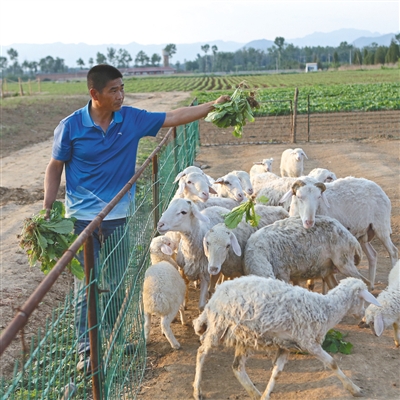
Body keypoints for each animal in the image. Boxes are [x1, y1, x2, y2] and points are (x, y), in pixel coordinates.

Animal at [194, 276, 382, 400]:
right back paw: (197, 390)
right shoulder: (308, 342)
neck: (326, 309)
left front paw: (265, 395)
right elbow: (332, 363)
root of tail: (216, 294)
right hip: (218, 326)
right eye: (362, 300)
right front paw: (354, 389)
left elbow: (276, 373)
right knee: (202, 352)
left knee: (237, 367)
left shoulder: (286, 345)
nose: (362, 317)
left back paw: (254, 393)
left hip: (244, 337)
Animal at [242, 214, 370, 290]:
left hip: (344, 260)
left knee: (366, 282)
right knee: (334, 286)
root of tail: (353, 240)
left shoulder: (283, 272)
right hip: (328, 267)